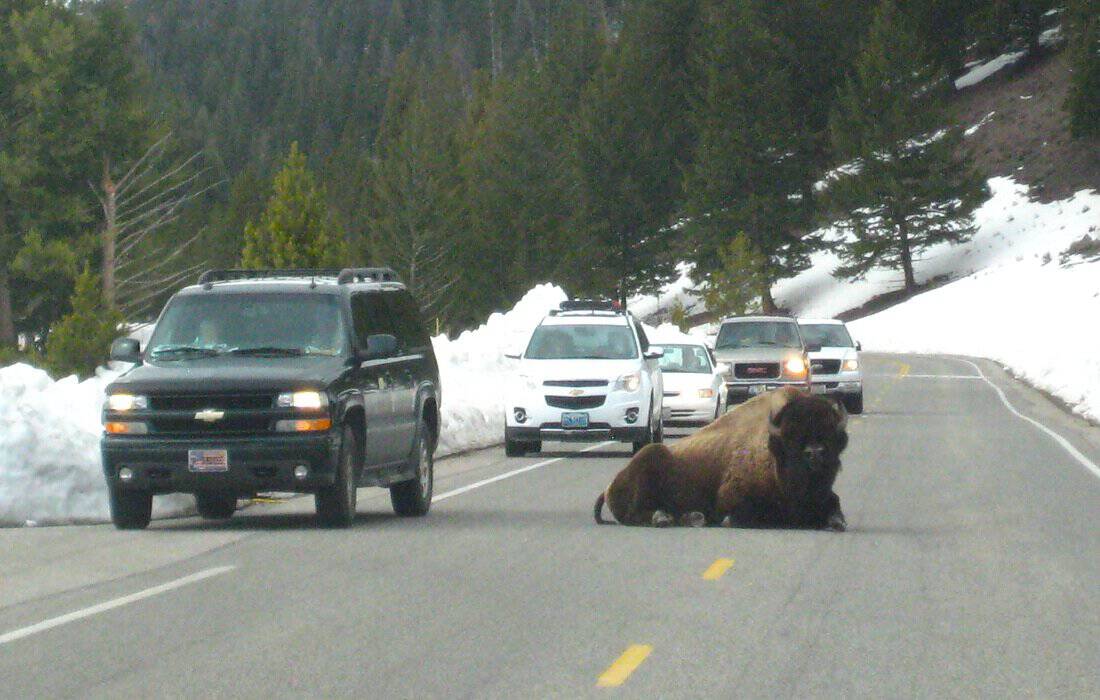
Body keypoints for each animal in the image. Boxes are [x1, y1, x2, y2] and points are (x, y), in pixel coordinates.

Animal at [593, 387, 848, 530]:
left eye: (831, 435)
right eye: (791, 438)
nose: (815, 453)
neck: (772, 451)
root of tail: (609, 486)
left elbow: (835, 506)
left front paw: (837, 523)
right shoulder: (733, 498)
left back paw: (692, 517)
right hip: (650, 459)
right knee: (638, 513)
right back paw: (666, 518)